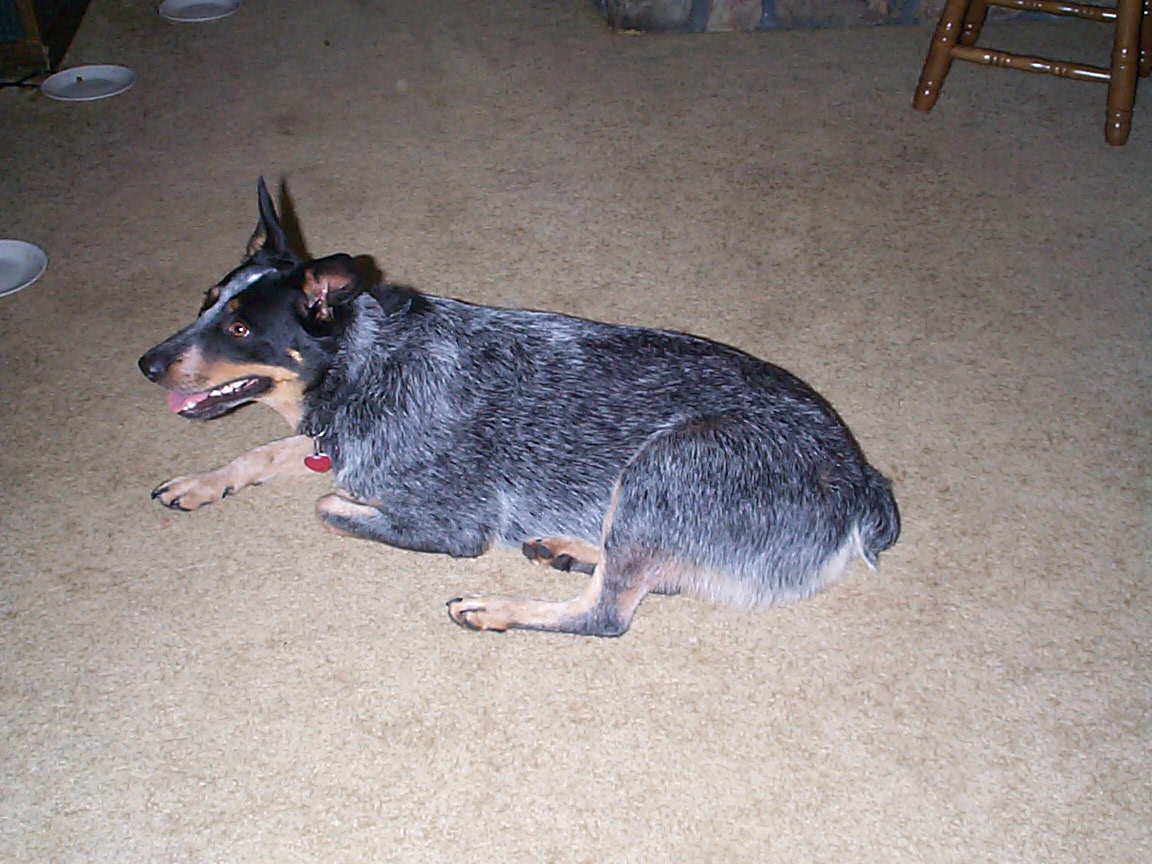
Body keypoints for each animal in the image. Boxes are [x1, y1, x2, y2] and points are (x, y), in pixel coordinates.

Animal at [138, 179, 900, 637]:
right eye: (205, 301)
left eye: (241, 329)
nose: (146, 363)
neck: (368, 363)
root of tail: (863, 482)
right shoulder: (327, 439)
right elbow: (268, 452)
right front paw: (203, 482)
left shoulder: (454, 524)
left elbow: (327, 503)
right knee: (654, 578)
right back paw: (569, 548)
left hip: (666, 465)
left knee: (608, 613)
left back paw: (497, 605)